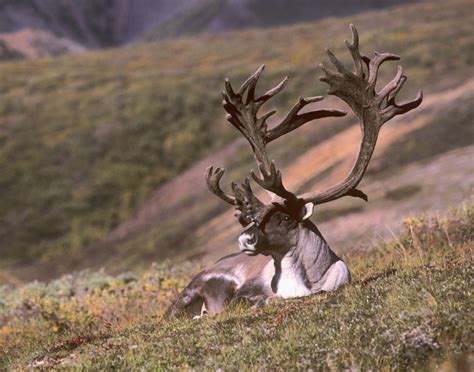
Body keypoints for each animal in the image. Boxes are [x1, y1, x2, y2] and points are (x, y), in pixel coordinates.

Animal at [166, 25, 422, 320]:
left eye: (286, 218)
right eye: (250, 219)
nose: (245, 238)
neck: (303, 282)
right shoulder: (244, 292)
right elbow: (254, 299)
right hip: (189, 292)